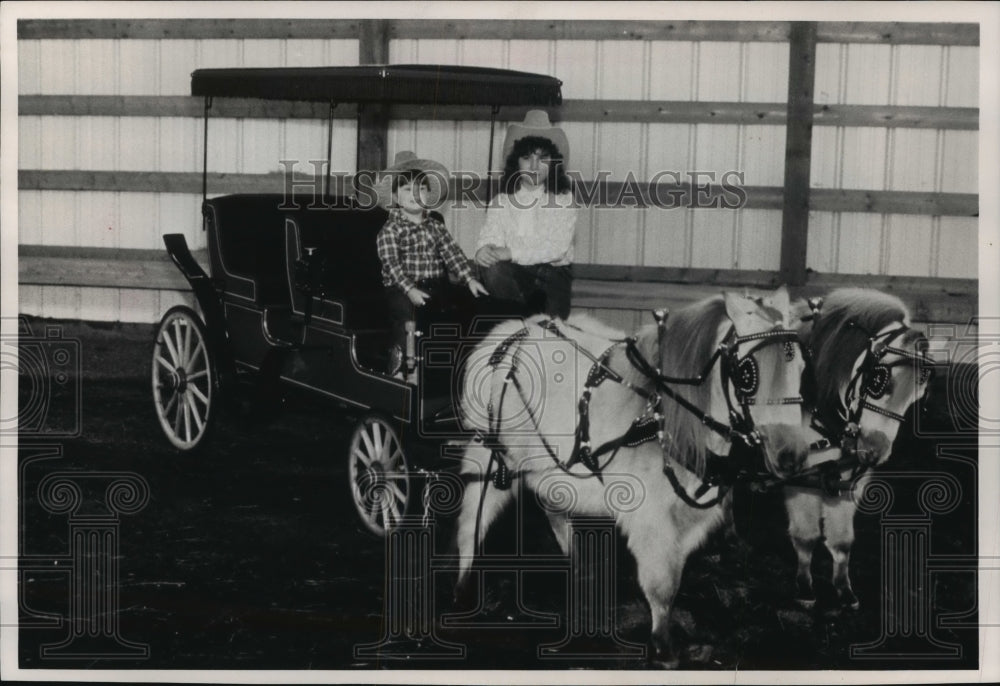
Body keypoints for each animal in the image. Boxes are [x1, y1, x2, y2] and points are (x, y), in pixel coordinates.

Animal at [454, 288, 812, 668]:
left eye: (802, 369)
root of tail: (511, 331)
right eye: (747, 375)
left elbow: (673, 576)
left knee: (554, 511)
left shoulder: (685, 518)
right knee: (472, 520)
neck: (662, 417)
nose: (791, 456)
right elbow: (661, 584)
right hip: (489, 454)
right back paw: (463, 588)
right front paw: (664, 649)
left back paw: (576, 569)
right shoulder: (651, 518)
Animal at [788, 288, 936, 612]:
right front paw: (804, 587)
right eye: (878, 380)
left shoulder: (845, 478)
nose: (874, 451)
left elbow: (843, 541)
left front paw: (844, 590)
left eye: (918, 395)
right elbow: (806, 536)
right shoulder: (799, 478)